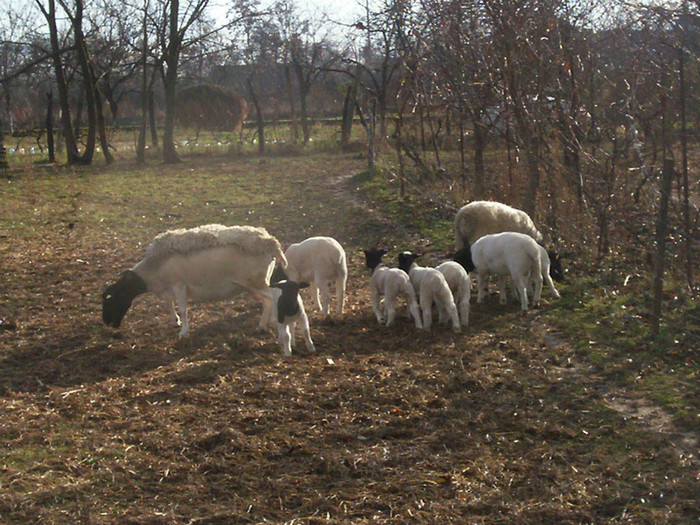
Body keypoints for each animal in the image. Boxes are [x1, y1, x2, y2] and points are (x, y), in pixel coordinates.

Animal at [102, 223, 288, 338]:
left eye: (111, 299)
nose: (107, 323)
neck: (152, 270)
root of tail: (271, 243)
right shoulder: (168, 287)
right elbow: (168, 304)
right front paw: (175, 321)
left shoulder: (179, 285)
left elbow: (183, 309)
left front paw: (183, 331)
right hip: (253, 283)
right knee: (266, 300)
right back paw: (262, 325)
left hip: (255, 281)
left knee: (272, 297)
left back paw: (270, 322)